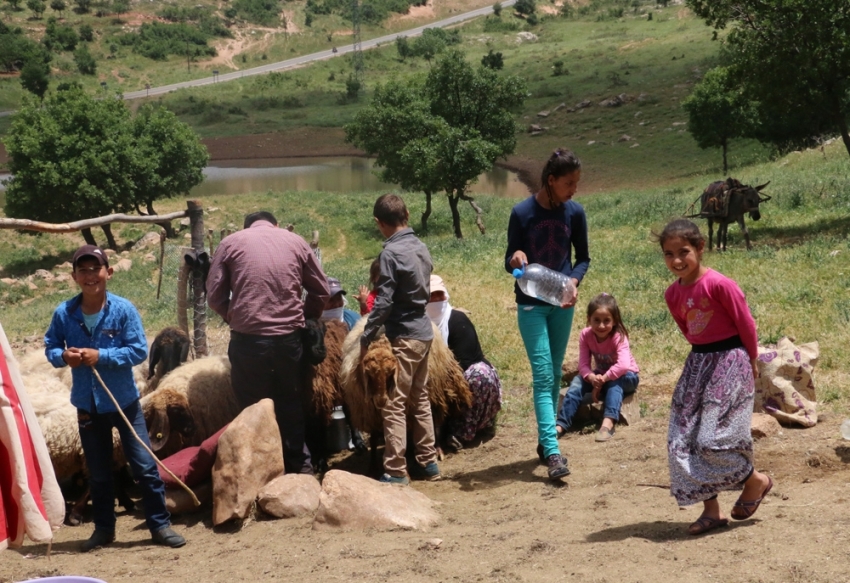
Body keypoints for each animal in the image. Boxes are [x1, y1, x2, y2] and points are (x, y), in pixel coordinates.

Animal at [338, 318, 474, 476]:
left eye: (391, 373)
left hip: (433, 394)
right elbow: (373, 438)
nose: (381, 401)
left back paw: (436, 450)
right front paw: (372, 467)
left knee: (433, 421)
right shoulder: (371, 413)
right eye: (370, 374)